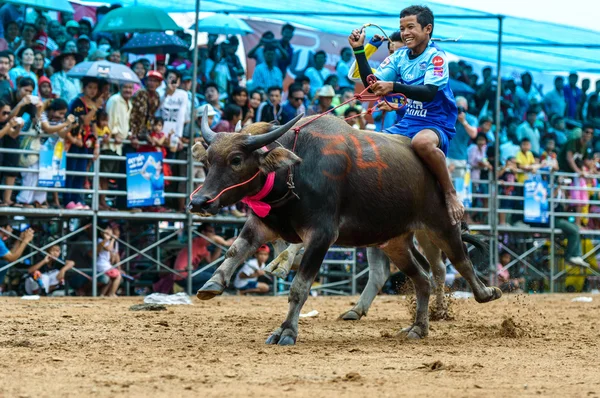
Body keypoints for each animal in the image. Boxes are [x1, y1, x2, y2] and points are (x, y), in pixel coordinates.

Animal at [190, 109, 500, 346]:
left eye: (236, 160)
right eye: (207, 161)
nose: (198, 201)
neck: (294, 171)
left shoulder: (322, 236)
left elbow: (299, 287)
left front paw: (286, 331)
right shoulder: (263, 224)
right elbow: (235, 250)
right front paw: (212, 283)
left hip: (441, 225)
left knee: (458, 262)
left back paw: (485, 293)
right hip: (394, 242)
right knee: (421, 277)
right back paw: (418, 328)